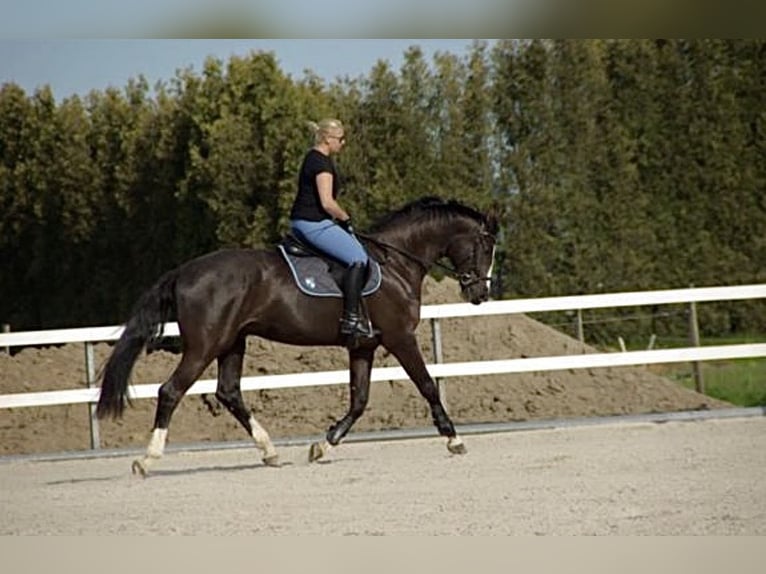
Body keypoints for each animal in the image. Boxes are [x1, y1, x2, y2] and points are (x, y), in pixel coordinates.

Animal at [96, 196, 499, 475]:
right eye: (485, 246)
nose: (480, 293)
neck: (396, 263)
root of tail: (183, 271)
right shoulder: (400, 338)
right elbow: (427, 385)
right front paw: (454, 439)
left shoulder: (364, 346)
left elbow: (359, 400)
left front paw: (324, 446)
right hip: (204, 346)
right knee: (171, 391)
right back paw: (148, 460)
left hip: (232, 343)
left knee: (228, 393)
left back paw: (269, 451)